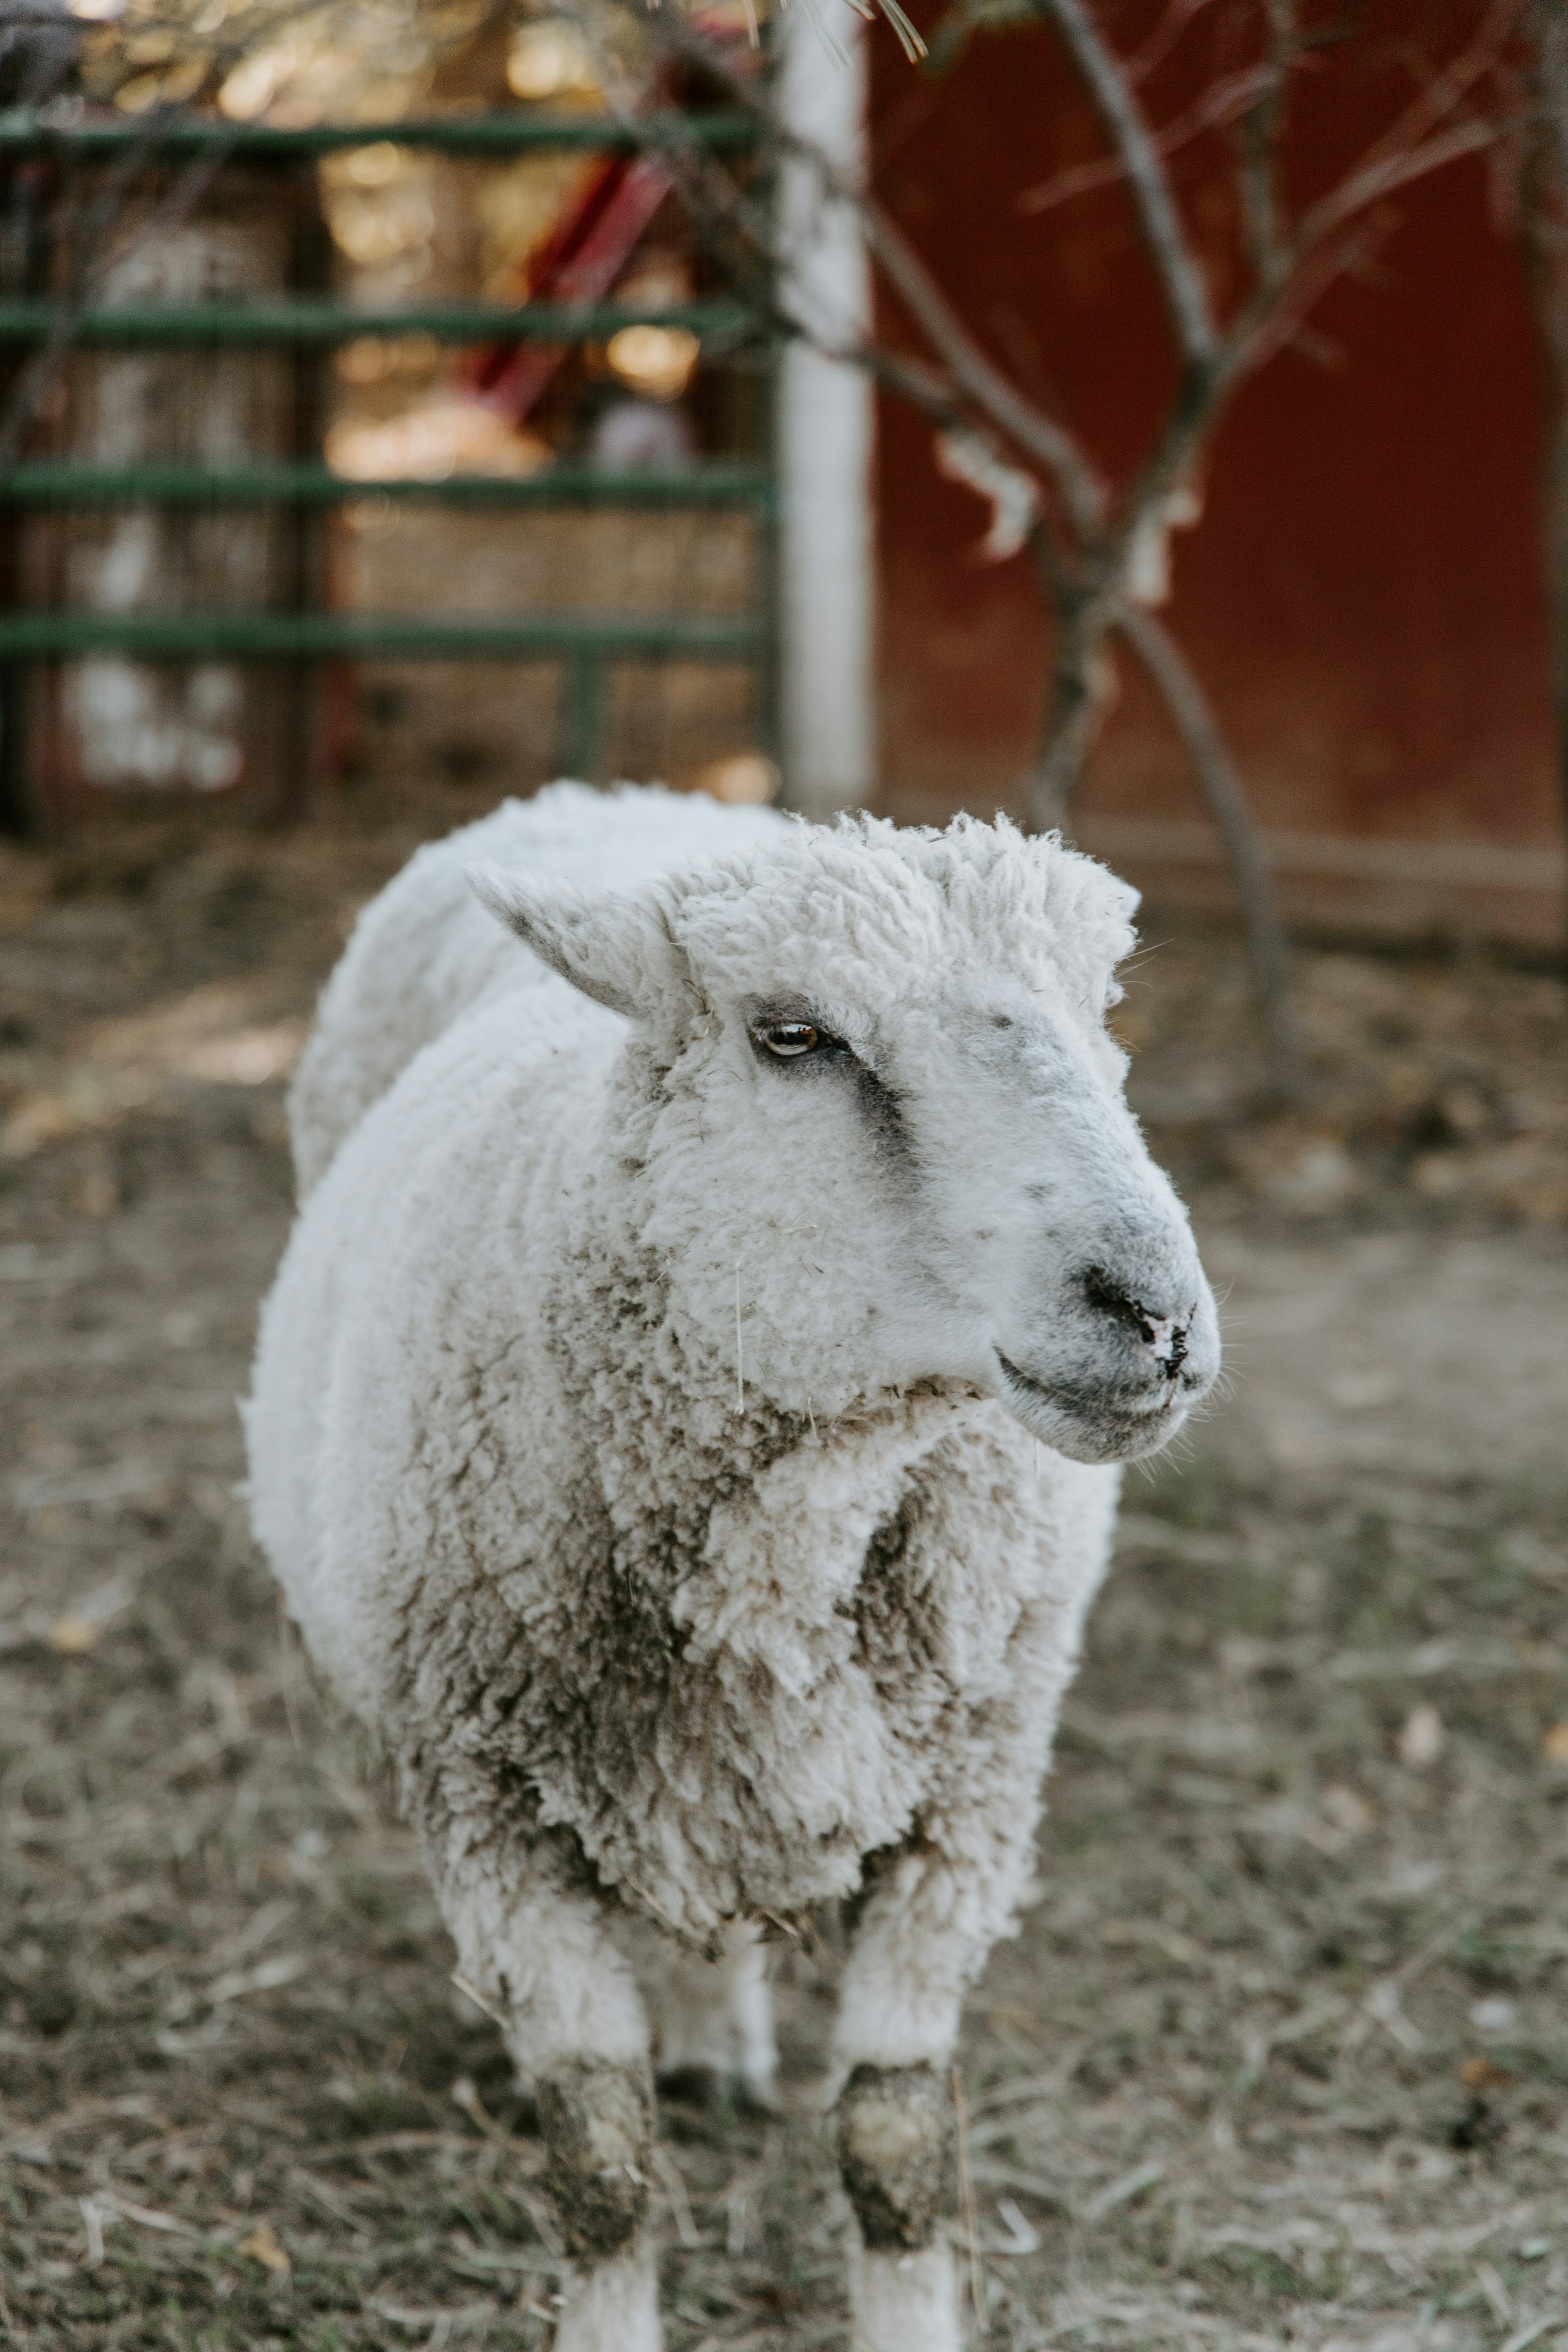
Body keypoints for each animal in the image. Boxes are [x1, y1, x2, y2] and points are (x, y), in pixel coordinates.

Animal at [246, 782, 1220, 2352]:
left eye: (1104, 1004)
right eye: (793, 1036)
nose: (1155, 1316)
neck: (802, 1521)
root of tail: (597, 800)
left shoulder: (970, 1808)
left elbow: (893, 2140)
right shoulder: (485, 1806)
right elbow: (600, 2161)